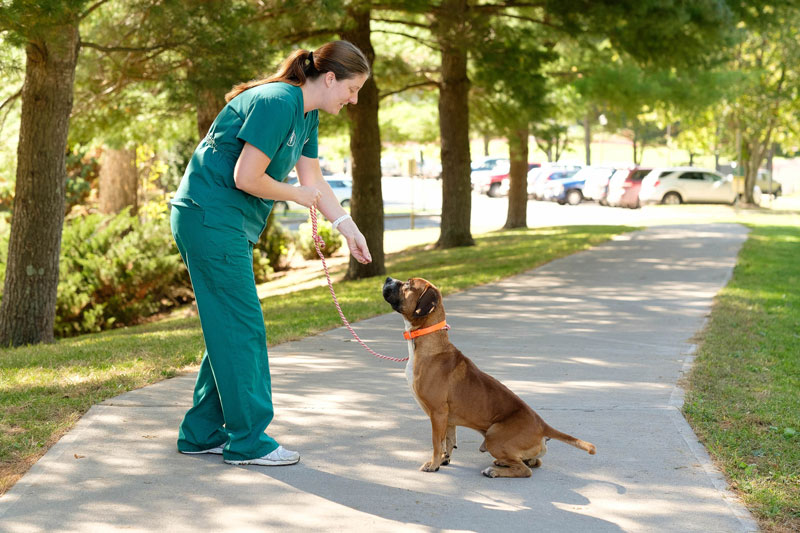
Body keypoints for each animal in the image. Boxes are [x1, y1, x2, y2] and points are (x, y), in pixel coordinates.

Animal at [382, 276, 592, 476]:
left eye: (408, 284)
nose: (388, 279)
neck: (430, 343)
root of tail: (542, 426)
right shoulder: (447, 418)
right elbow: (448, 440)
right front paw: (443, 460)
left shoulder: (438, 413)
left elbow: (436, 442)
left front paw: (433, 464)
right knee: (533, 462)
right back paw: (502, 463)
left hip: (494, 437)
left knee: (526, 470)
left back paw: (494, 471)